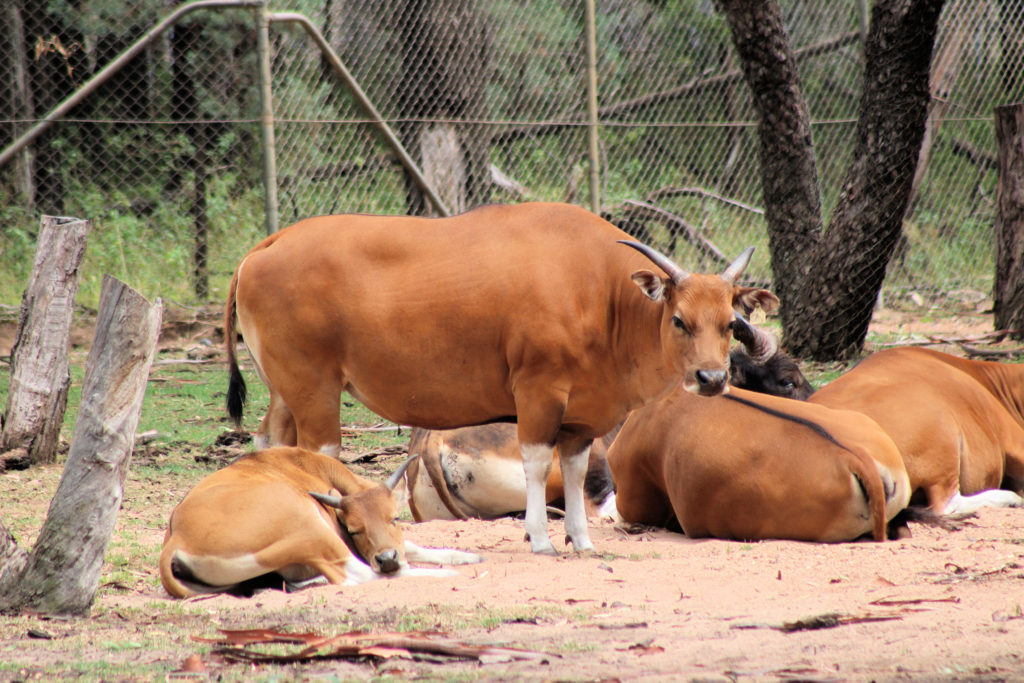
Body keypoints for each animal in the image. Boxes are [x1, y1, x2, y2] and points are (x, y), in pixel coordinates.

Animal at [158, 448, 479, 598]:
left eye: (395, 518)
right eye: (353, 529)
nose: (387, 559)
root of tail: (177, 536)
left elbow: (410, 545)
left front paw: (462, 556)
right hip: (310, 527)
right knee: (357, 576)